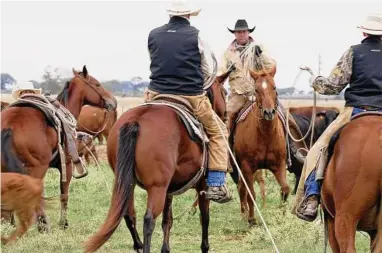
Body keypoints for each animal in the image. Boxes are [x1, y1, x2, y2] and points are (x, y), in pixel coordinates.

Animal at [0, 64, 116, 231]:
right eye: (97, 84)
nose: (113, 101)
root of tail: (9, 125)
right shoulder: (66, 165)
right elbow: (64, 194)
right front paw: (64, 224)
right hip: (37, 168)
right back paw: (43, 225)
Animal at [84, 71, 231, 253]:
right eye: (224, 92)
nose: (226, 115)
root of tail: (136, 120)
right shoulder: (202, 186)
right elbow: (205, 218)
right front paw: (204, 247)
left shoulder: (169, 190)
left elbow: (167, 220)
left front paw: (165, 249)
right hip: (157, 187)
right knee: (148, 220)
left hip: (128, 183)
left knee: (129, 214)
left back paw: (138, 245)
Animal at [230, 65, 290, 225]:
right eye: (256, 90)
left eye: (274, 87)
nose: (269, 112)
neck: (265, 135)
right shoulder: (247, 167)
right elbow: (251, 194)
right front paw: (252, 219)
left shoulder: (279, 165)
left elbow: (285, 189)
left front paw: (283, 215)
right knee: (242, 189)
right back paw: (244, 214)